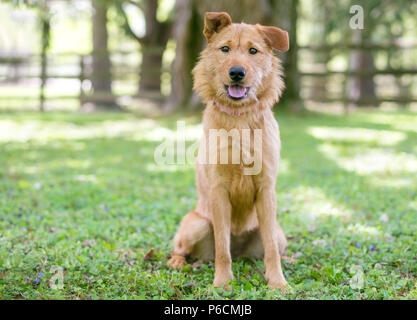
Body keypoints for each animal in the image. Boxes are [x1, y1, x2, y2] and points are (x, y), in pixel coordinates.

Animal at [166, 11, 290, 290]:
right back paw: (177, 262)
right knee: (181, 248)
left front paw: (277, 282)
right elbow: (223, 247)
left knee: (274, 246)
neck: (239, 119)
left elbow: (271, 250)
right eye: (225, 49)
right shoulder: (218, 191)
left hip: (279, 232)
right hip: (197, 224)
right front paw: (223, 282)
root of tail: (241, 250)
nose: (236, 73)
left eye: (253, 51)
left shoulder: (266, 189)